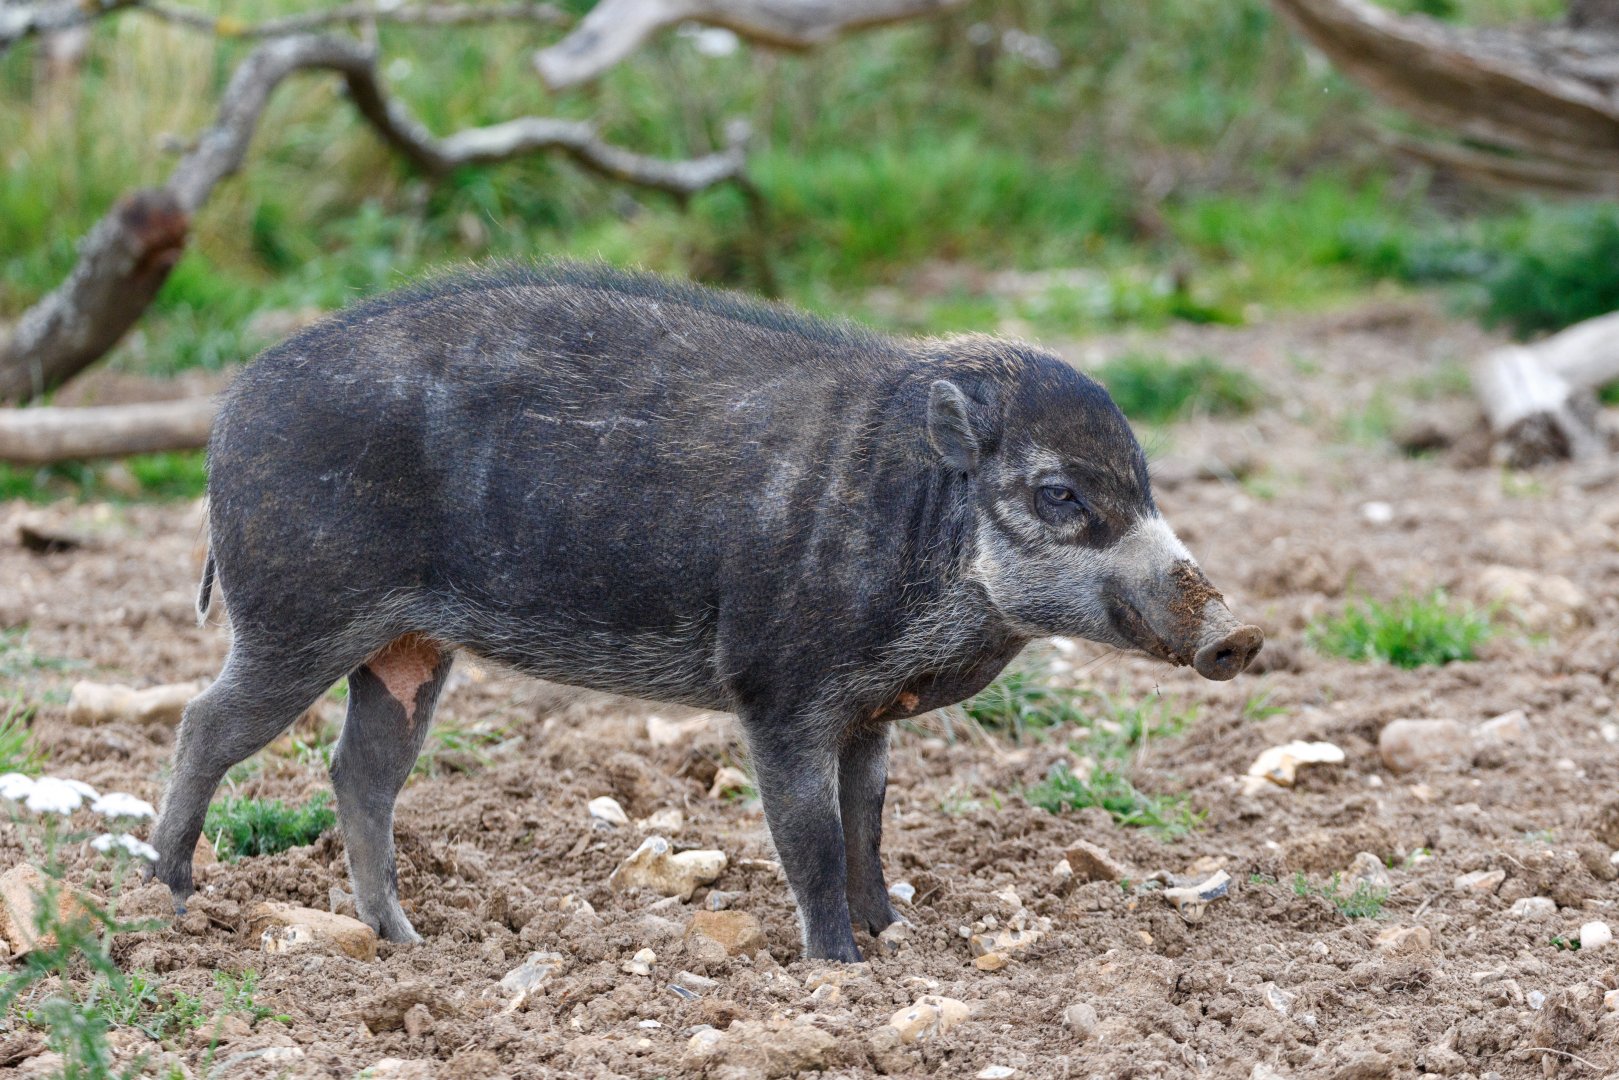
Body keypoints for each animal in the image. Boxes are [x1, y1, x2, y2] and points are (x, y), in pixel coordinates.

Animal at [150, 263, 1262, 962]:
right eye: (1057, 494)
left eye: (1143, 487)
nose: (1238, 634)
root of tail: (226, 413)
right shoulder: (777, 688)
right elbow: (808, 835)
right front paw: (837, 967)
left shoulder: (870, 711)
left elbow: (868, 820)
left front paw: (896, 935)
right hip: (293, 614)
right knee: (204, 723)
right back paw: (169, 897)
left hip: (408, 648)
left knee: (360, 769)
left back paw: (407, 943)